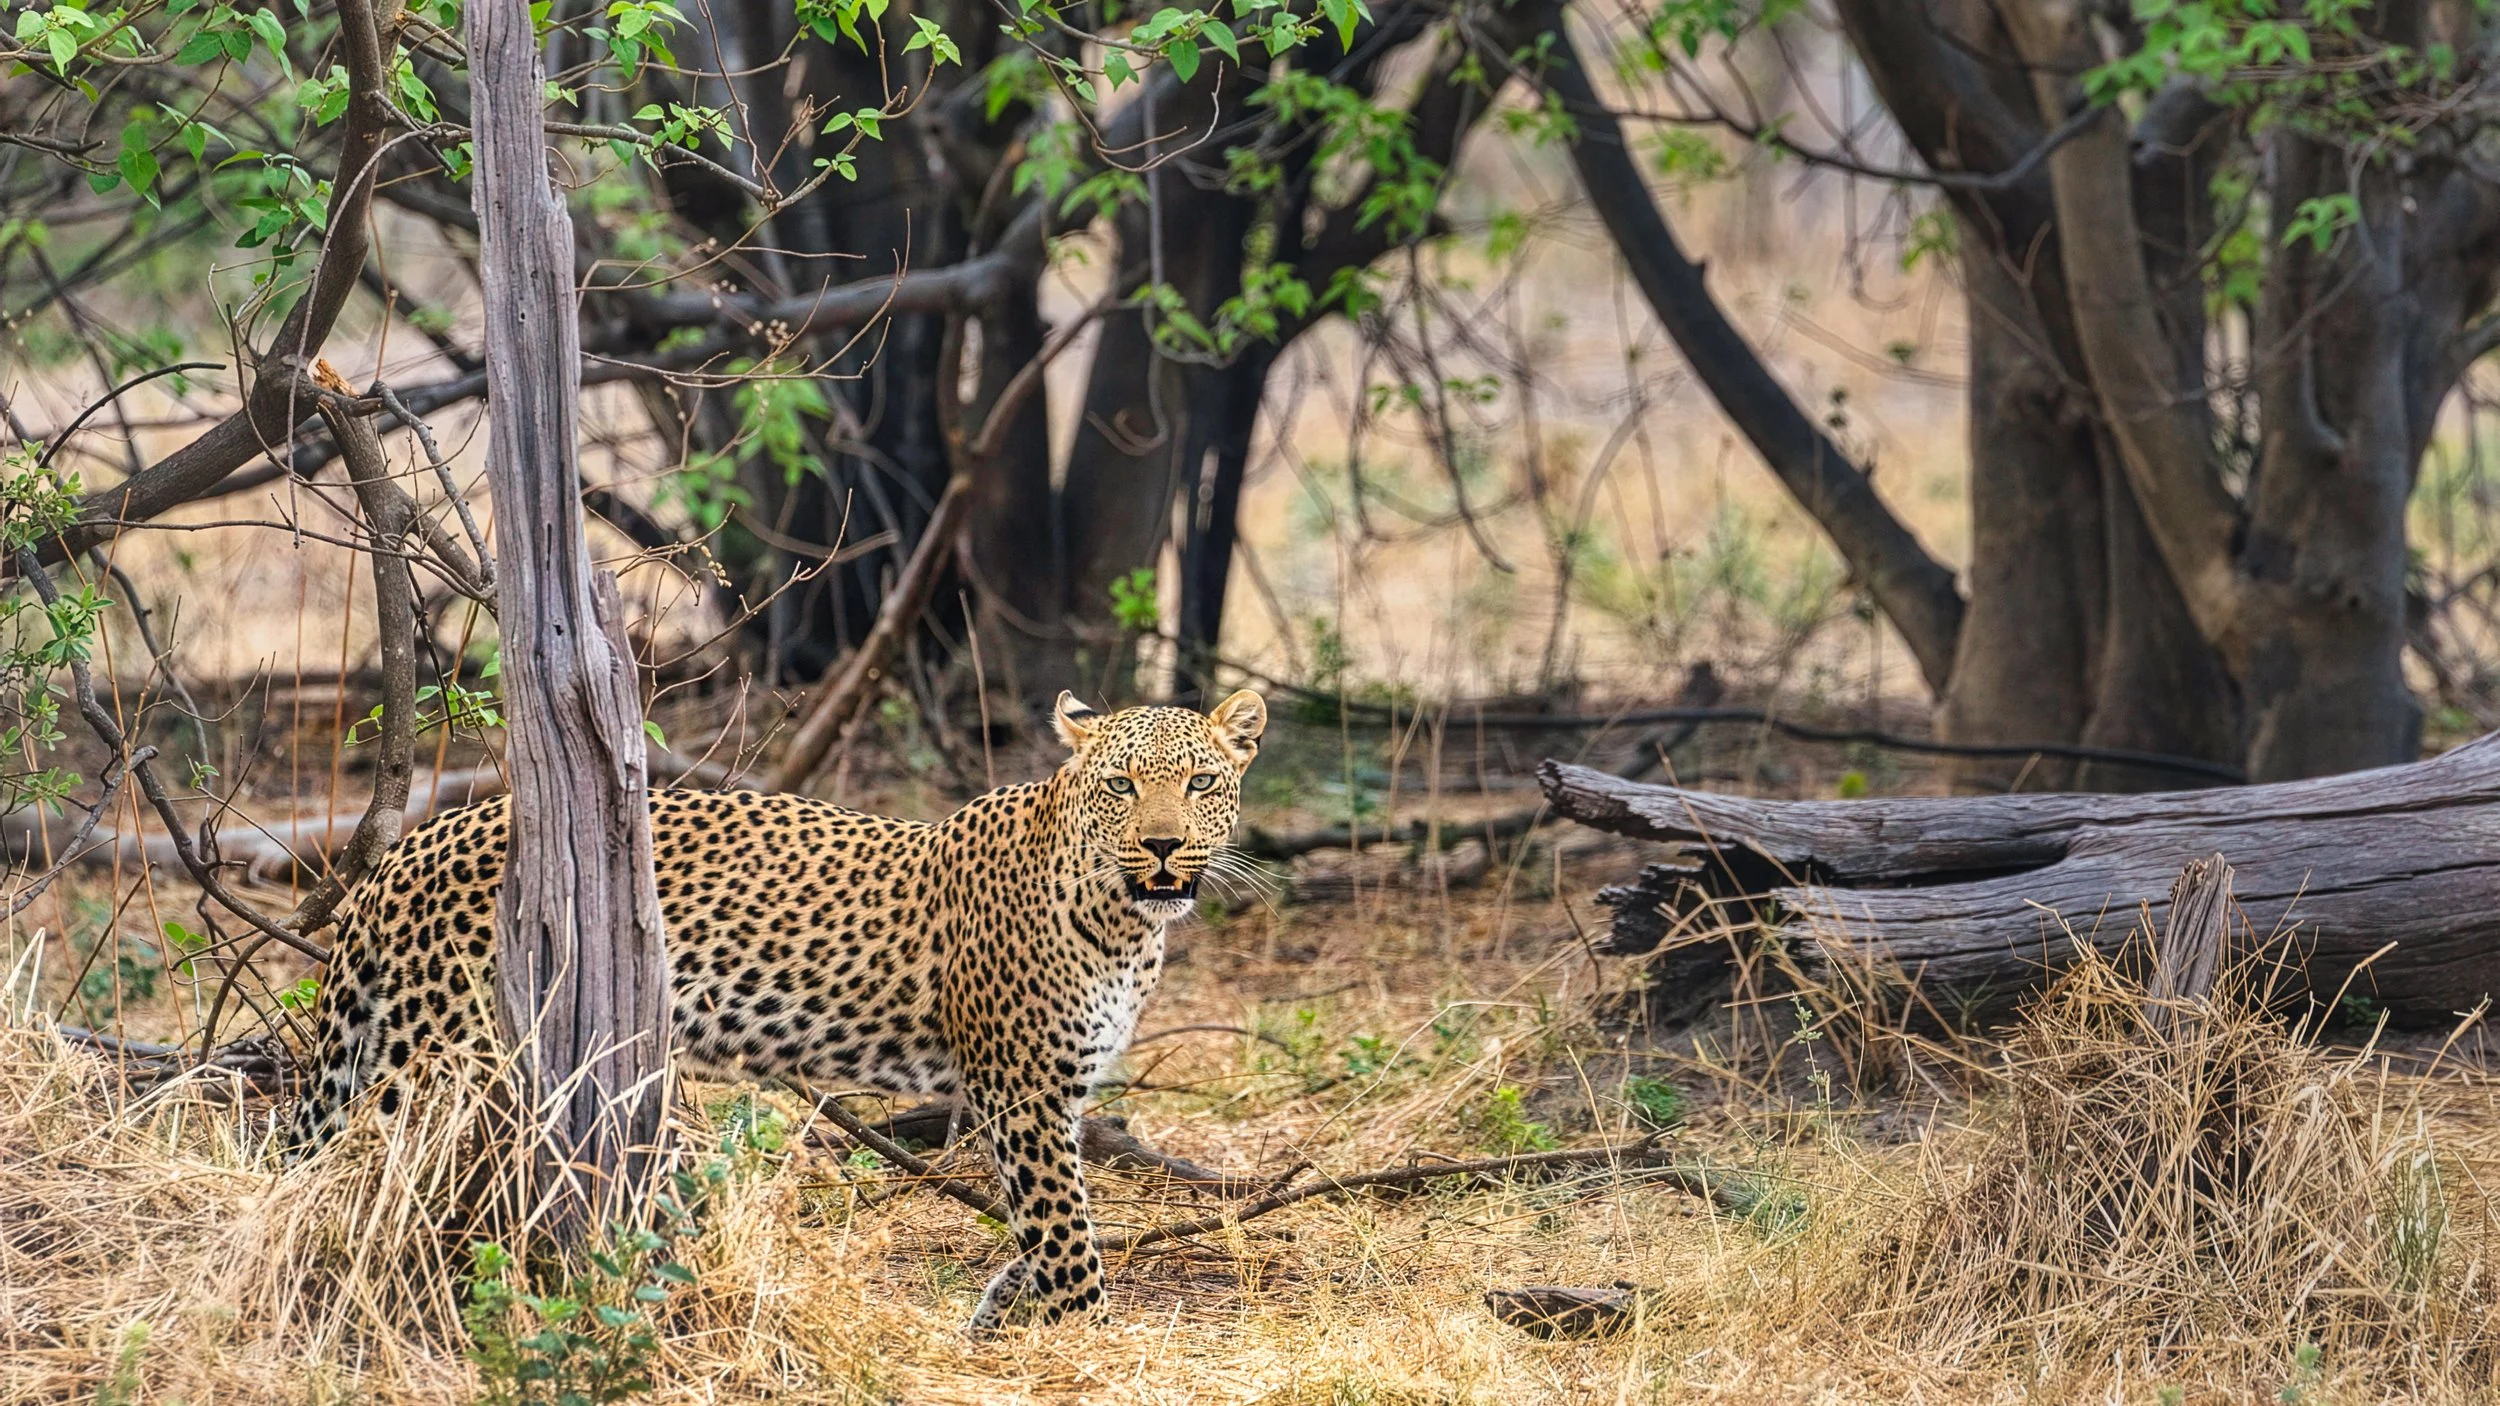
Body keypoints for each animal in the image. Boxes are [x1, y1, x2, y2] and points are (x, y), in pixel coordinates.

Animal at [288, 687, 1268, 1330]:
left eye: (1202, 783)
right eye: (1122, 786)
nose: (1164, 844)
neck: (1123, 918)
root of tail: (409, 845)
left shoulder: (1049, 1091)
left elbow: (1042, 1224)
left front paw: (1000, 1308)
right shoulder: (1021, 1087)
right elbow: (1063, 1226)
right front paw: (1085, 1332)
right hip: (436, 1057)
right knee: (364, 1187)